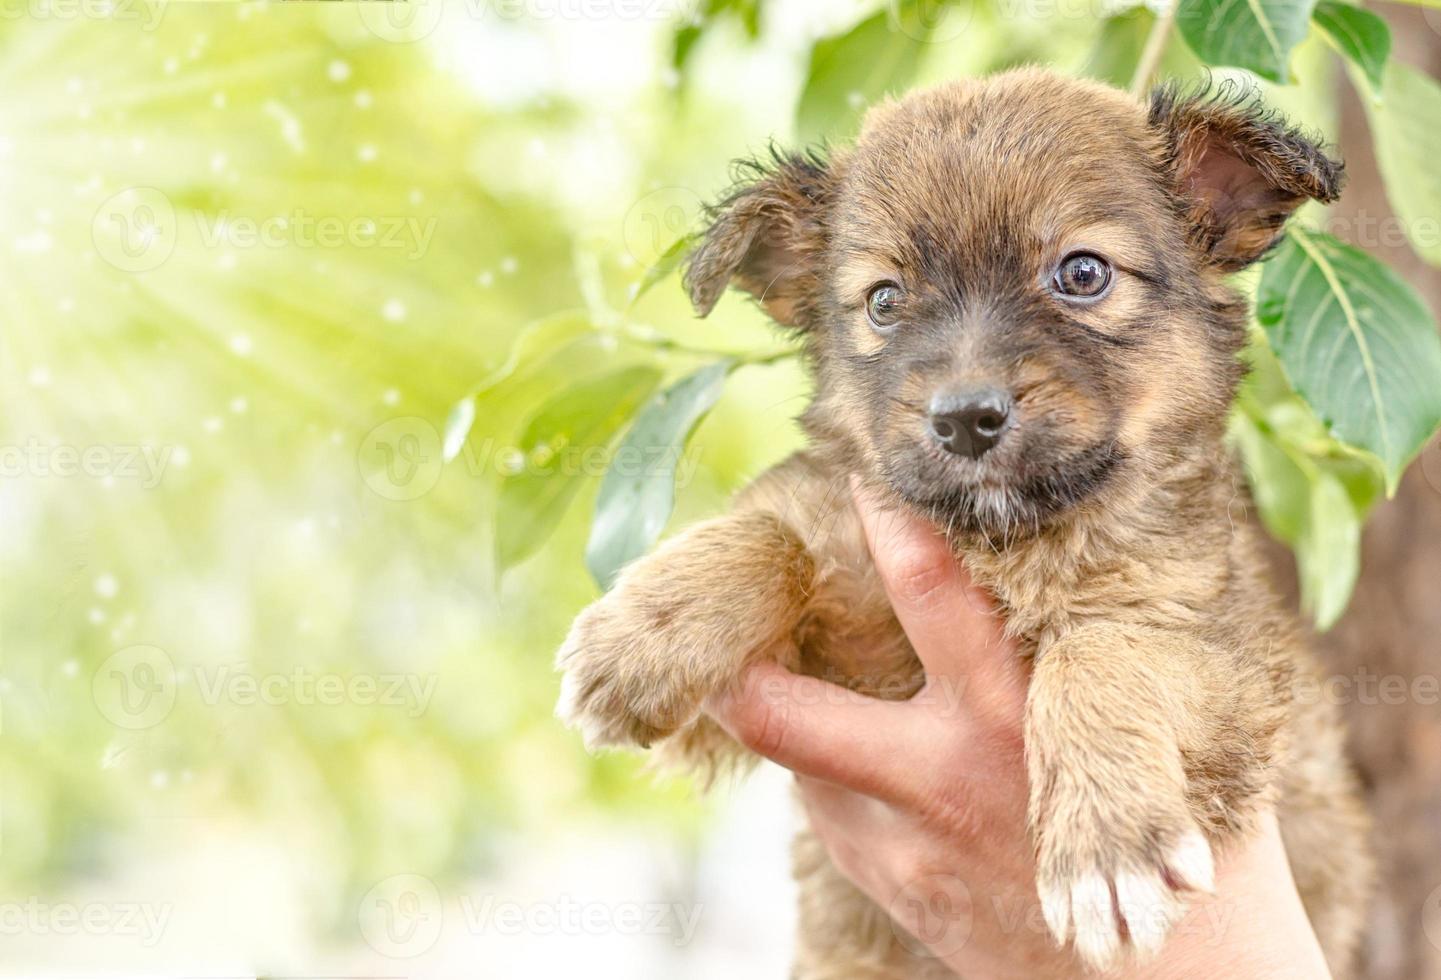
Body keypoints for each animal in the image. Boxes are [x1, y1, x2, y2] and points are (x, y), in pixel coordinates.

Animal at [550, 67, 1371, 974]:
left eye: (1082, 273)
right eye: (883, 301)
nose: (964, 419)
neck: (999, 542)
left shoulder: (1215, 643)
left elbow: (1100, 652)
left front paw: (1105, 842)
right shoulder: (757, 687)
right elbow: (774, 533)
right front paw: (640, 634)